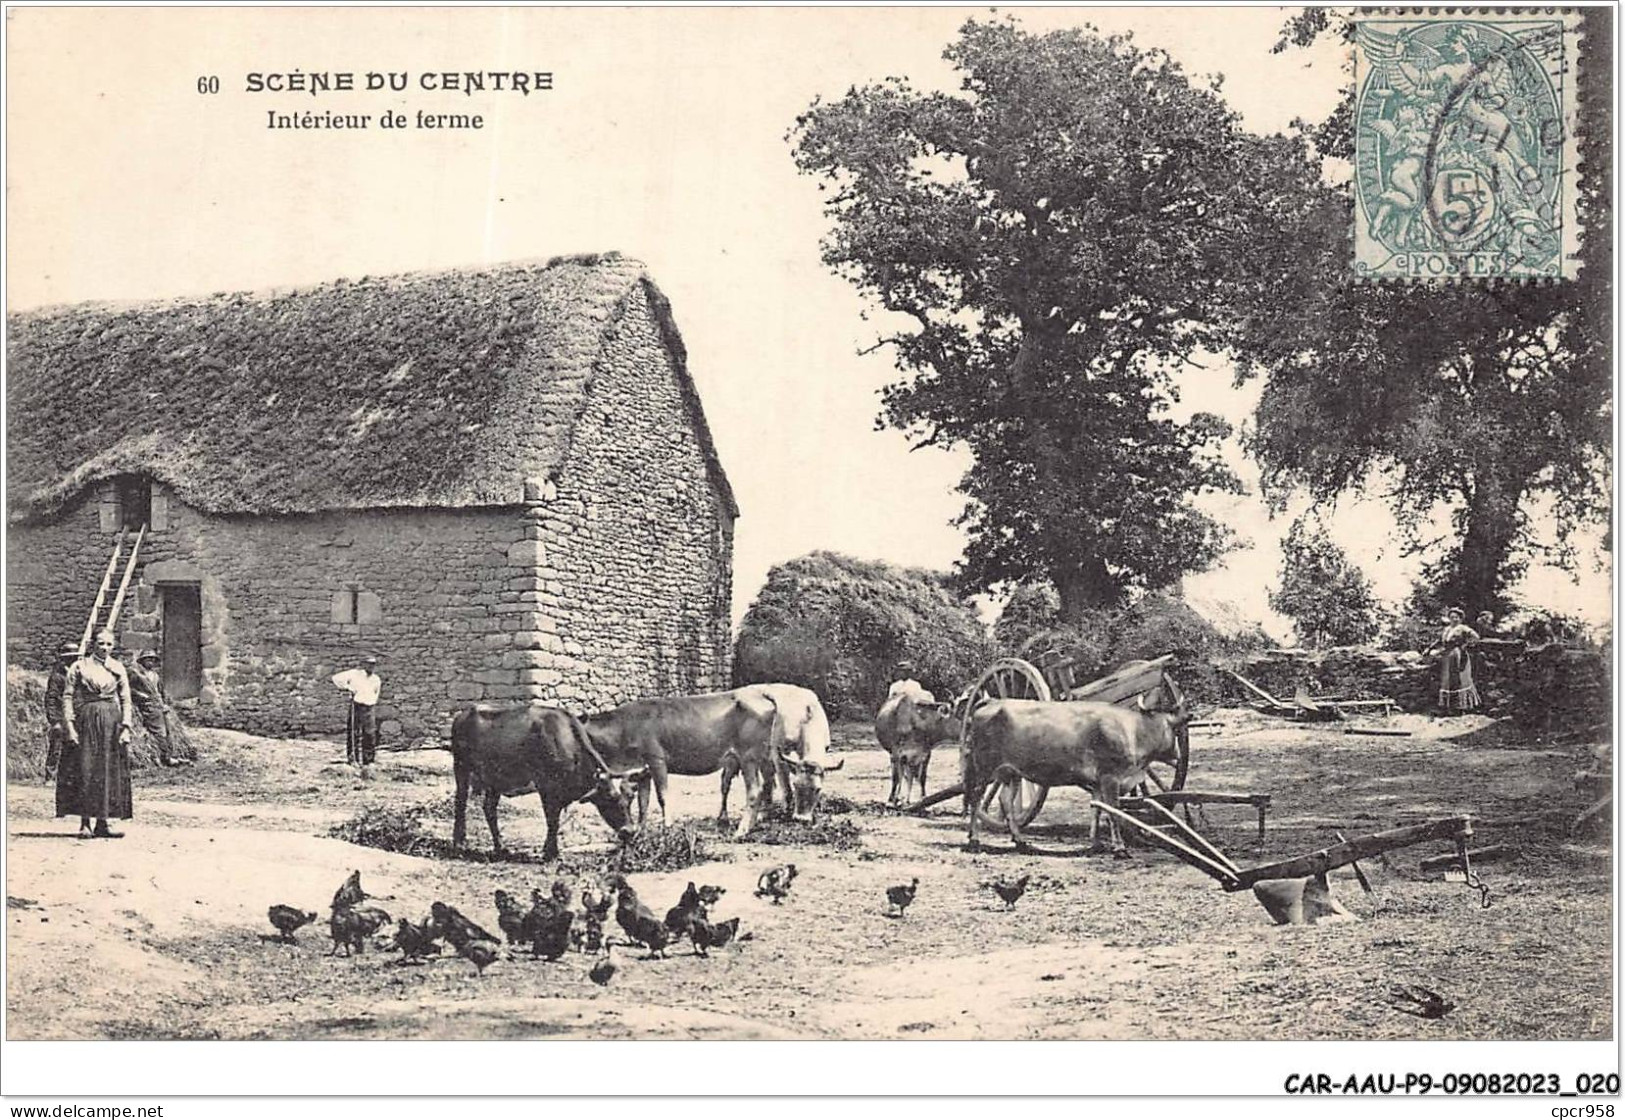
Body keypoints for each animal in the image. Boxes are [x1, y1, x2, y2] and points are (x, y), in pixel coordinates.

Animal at [451, 702, 646, 858]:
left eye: (631, 797)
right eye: (610, 798)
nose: (630, 831)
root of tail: (464, 713)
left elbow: (555, 821)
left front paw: (550, 850)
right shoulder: (546, 787)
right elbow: (552, 820)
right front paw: (550, 853)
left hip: (496, 779)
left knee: (489, 809)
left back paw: (501, 847)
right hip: (461, 767)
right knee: (460, 803)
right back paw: (459, 843)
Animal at [581, 689, 783, 838]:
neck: (624, 727)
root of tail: (761, 694)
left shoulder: (656, 760)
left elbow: (662, 796)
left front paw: (667, 827)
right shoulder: (643, 771)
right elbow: (643, 802)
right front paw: (641, 831)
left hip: (748, 756)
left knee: (754, 791)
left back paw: (741, 831)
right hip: (760, 757)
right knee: (766, 785)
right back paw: (753, 824)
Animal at [734, 682, 838, 822]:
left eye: (817, 789)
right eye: (796, 785)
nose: (801, 818)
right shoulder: (779, 754)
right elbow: (786, 787)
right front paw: (786, 811)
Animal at [955, 672, 1189, 858]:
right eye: (1175, 729)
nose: (1178, 755)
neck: (1132, 729)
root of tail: (992, 701)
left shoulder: (1097, 781)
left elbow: (1097, 809)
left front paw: (1096, 843)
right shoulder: (1110, 777)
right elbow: (1114, 812)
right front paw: (1120, 848)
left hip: (1009, 772)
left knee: (1005, 801)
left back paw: (1020, 841)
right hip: (984, 768)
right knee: (976, 799)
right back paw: (974, 840)